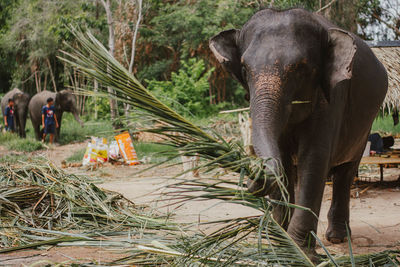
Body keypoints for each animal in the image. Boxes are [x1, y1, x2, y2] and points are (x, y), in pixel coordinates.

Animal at [209, 7, 388, 255]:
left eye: (301, 68)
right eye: (244, 69)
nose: (250, 178)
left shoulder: (332, 97)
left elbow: (313, 159)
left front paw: (302, 253)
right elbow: (282, 161)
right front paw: (281, 243)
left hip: (365, 127)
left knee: (346, 172)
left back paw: (337, 238)